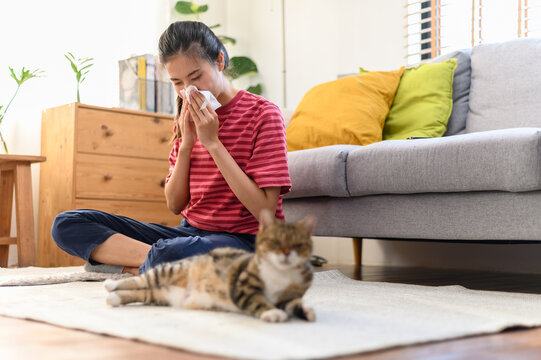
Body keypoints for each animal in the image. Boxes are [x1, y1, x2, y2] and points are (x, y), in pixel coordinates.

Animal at [103, 208, 316, 324]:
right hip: (167, 271)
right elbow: (257, 300)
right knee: (139, 279)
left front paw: (306, 311)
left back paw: (114, 298)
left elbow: (293, 304)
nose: (286, 253)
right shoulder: (241, 286)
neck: (282, 274)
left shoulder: (290, 296)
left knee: (141, 292)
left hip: (163, 295)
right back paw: (110, 284)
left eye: (298, 245)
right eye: (274, 242)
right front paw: (272, 313)